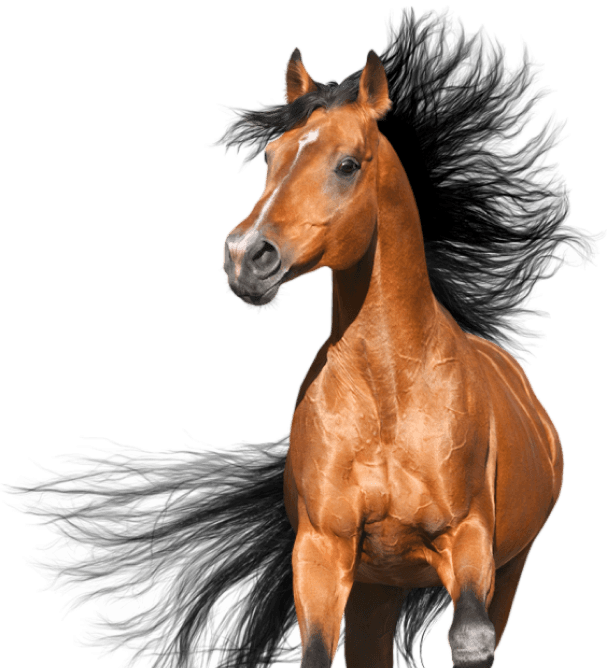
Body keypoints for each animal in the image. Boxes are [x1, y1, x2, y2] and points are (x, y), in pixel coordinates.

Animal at [221, 47, 565, 668]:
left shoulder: (468, 542)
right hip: (378, 591)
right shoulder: (322, 551)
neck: (389, 393)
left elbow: (470, 640)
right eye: (271, 156)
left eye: (348, 165)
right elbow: (316, 651)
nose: (245, 257)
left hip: (510, 565)